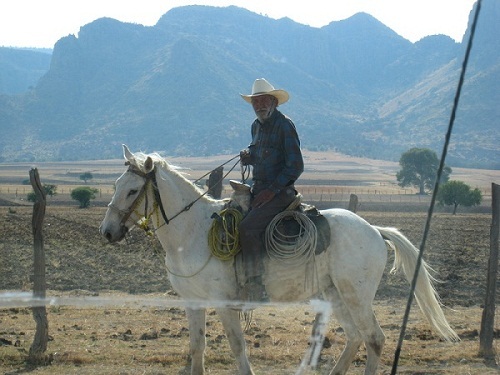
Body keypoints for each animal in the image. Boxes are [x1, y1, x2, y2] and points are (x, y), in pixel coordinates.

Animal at [99, 146, 458, 375]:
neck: (192, 232)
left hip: (356, 296)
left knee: (374, 339)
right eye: (115, 184)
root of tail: (373, 229)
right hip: (335, 294)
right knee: (356, 337)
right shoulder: (193, 302)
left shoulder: (225, 305)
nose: (107, 232)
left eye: (132, 191)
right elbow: (197, 349)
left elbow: (238, 349)